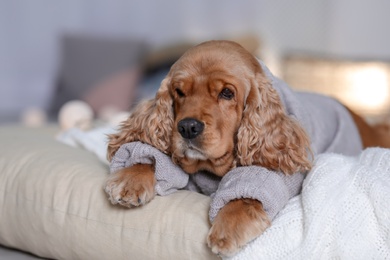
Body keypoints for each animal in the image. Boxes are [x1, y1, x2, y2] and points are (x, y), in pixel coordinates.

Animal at [103, 40, 390, 256]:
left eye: (227, 93)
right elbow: (153, 159)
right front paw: (132, 178)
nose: (187, 127)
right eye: (179, 92)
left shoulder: (275, 170)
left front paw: (228, 227)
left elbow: (247, 193)